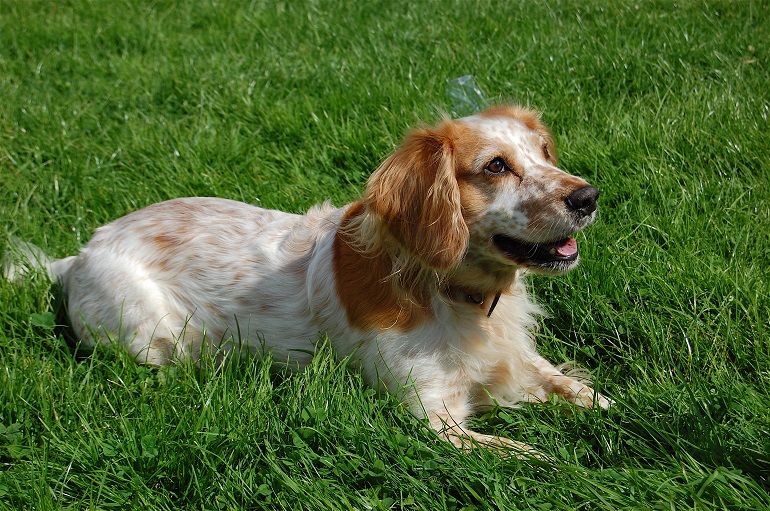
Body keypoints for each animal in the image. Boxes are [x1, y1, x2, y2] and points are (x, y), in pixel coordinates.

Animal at [7, 106, 608, 454]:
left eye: (544, 153)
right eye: (496, 166)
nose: (589, 197)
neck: (449, 292)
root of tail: (79, 253)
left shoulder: (517, 359)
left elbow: (584, 392)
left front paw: (613, 409)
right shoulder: (432, 417)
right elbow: (529, 457)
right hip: (150, 335)